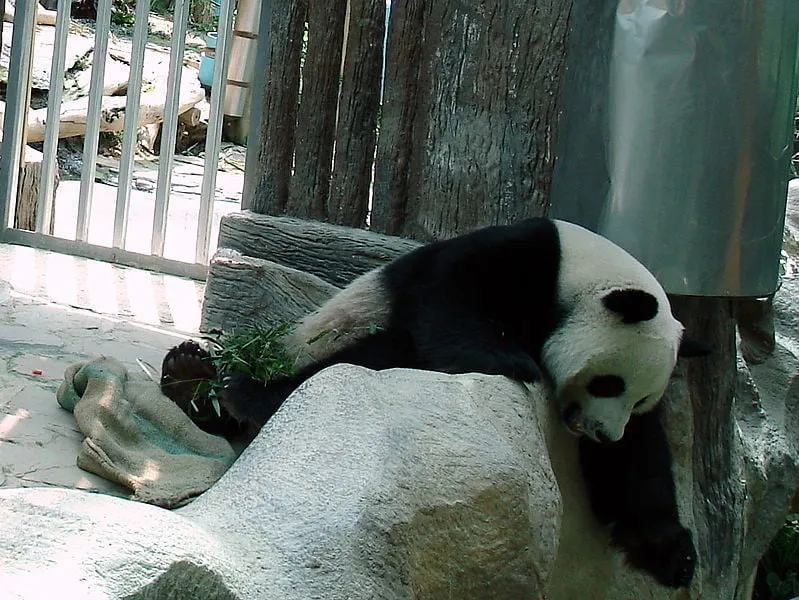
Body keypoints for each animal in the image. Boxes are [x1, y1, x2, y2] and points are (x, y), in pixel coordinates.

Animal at [167, 217, 709, 588]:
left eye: (639, 398)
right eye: (609, 383)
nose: (601, 432)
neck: (579, 274)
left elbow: (638, 458)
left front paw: (669, 550)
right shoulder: (520, 259)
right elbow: (451, 303)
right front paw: (512, 359)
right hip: (326, 334)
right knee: (368, 354)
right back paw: (213, 385)